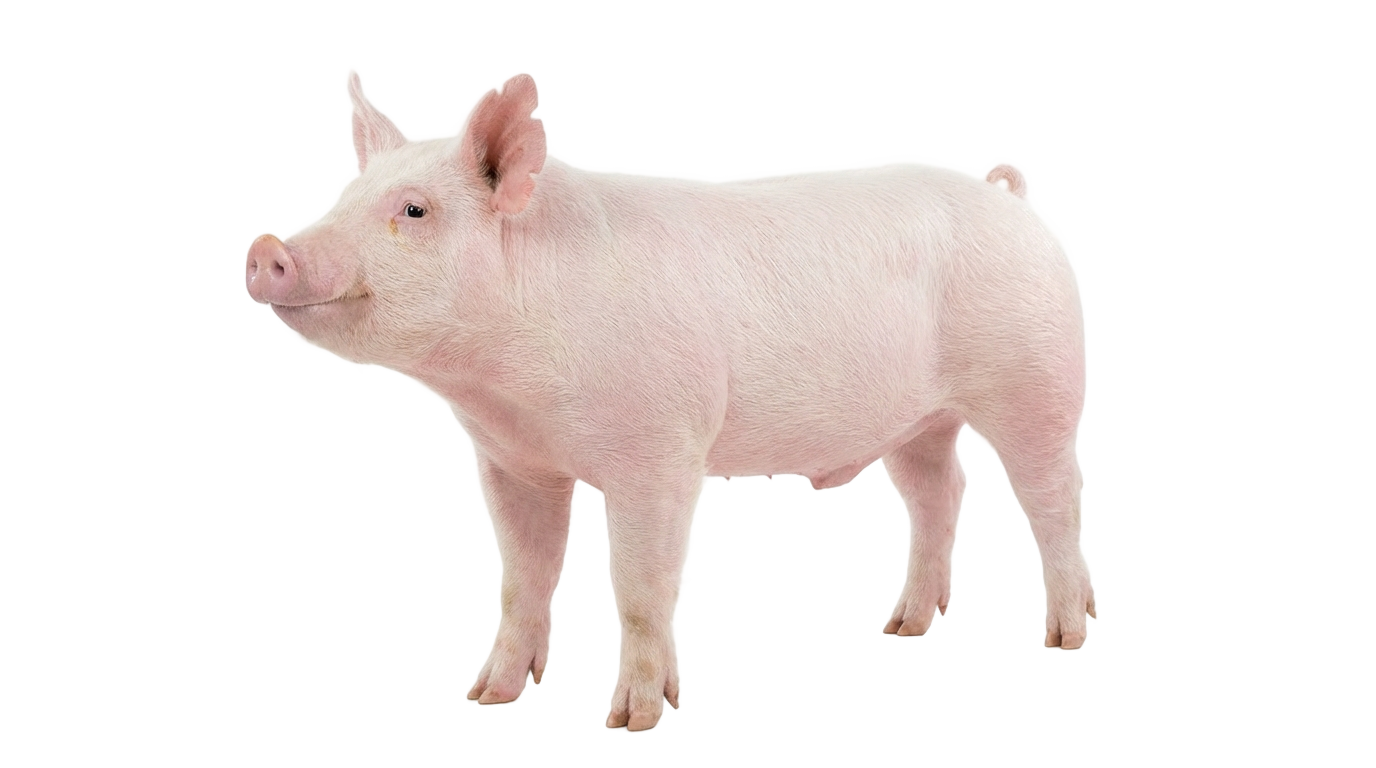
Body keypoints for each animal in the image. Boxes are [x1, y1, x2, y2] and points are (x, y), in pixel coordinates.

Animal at [245, 73, 1094, 730]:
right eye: (344, 196)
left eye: (414, 210)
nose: (267, 247)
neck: (505, 388)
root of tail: (1007, 198)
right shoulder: (512, 463)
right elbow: (520, 580)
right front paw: (490, 698)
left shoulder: (657, 452)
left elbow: (639, 590)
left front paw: (639, 719)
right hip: (925, 419)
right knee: (939, 498)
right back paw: (905, 628)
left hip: (1036, 377)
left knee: (1055, 503)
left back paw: (1072, 638)